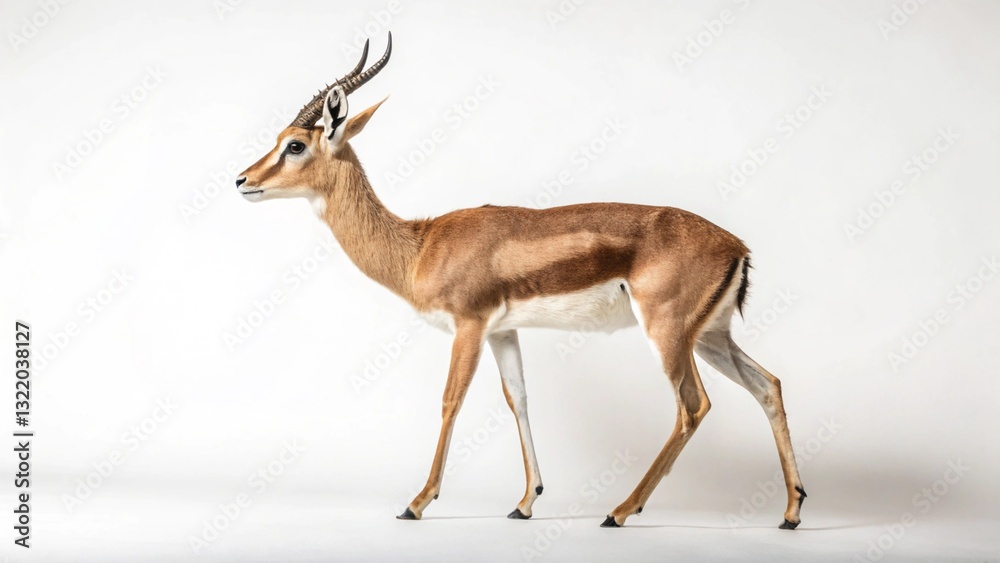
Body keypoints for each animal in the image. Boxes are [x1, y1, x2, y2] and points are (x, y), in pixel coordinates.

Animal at [236, 33, 807, 529]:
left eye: (294, 145)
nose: (242, 180)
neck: (421, 246)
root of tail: (737, 247)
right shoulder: (502, 331)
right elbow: (519, 399)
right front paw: (525, 503)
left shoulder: (468, 325)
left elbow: (451, 400)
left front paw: (416, 503)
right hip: (710, 337)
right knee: (769, 385)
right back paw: (790, 512)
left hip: (668, 333)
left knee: (693, 406)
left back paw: (620, 511)